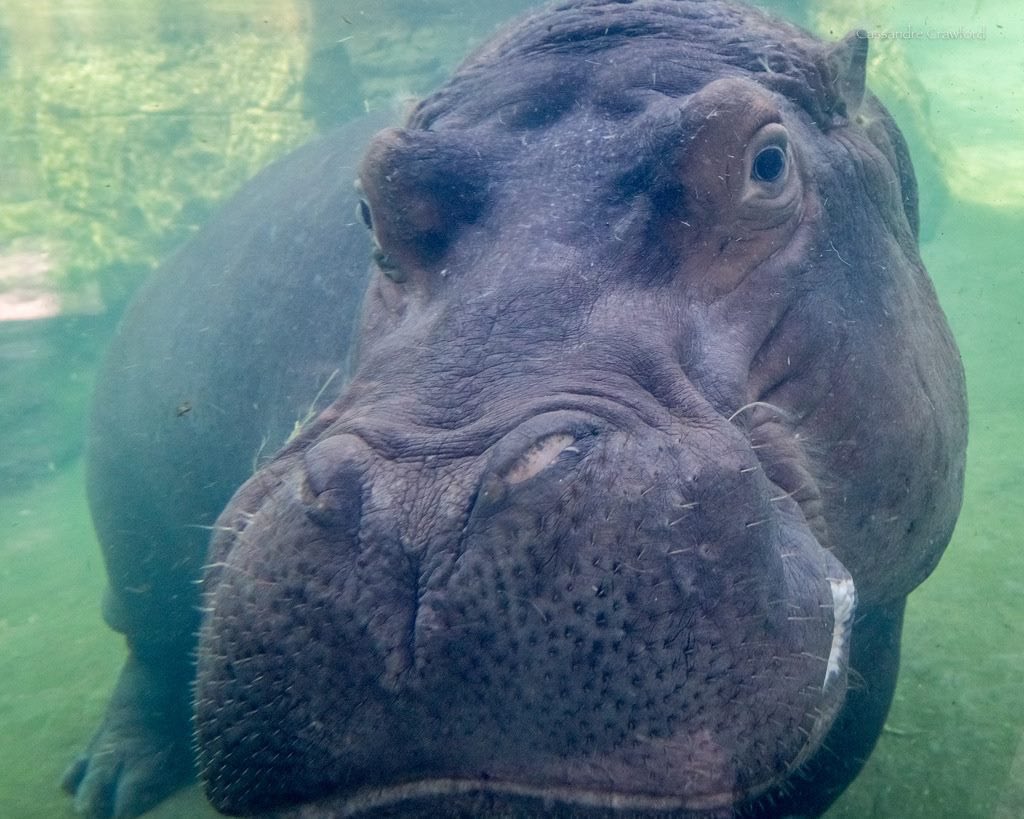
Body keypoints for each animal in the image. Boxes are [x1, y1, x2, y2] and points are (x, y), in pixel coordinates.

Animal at [64, 1, 967, 817]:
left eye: (769, 162)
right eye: (371, 198)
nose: (416, 515)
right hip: (131, 523)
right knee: (147, 644)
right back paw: (107, 783)